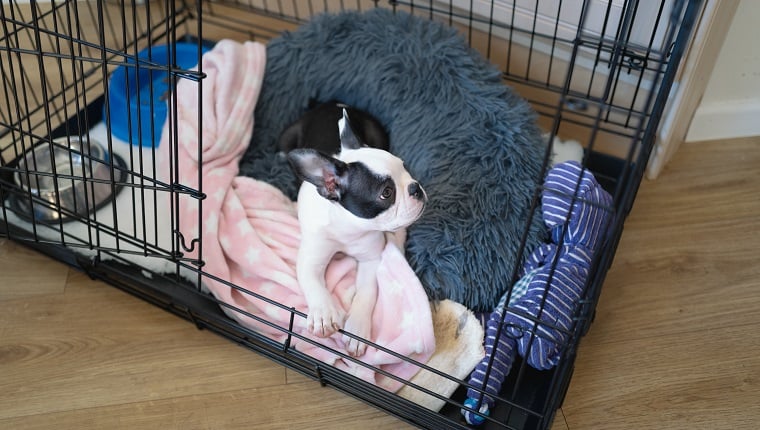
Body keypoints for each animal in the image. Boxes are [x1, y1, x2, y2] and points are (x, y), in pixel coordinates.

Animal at [284, 101, 428, 356]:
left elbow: (366, 293)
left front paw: (357, 329)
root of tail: (329, 102)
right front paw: (324, 313)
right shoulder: (311, 258)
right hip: (287, 137)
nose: (416, 188)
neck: (348, 227)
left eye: (405, 168)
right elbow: (313, 283)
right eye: (386, 193)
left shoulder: (370, 259)